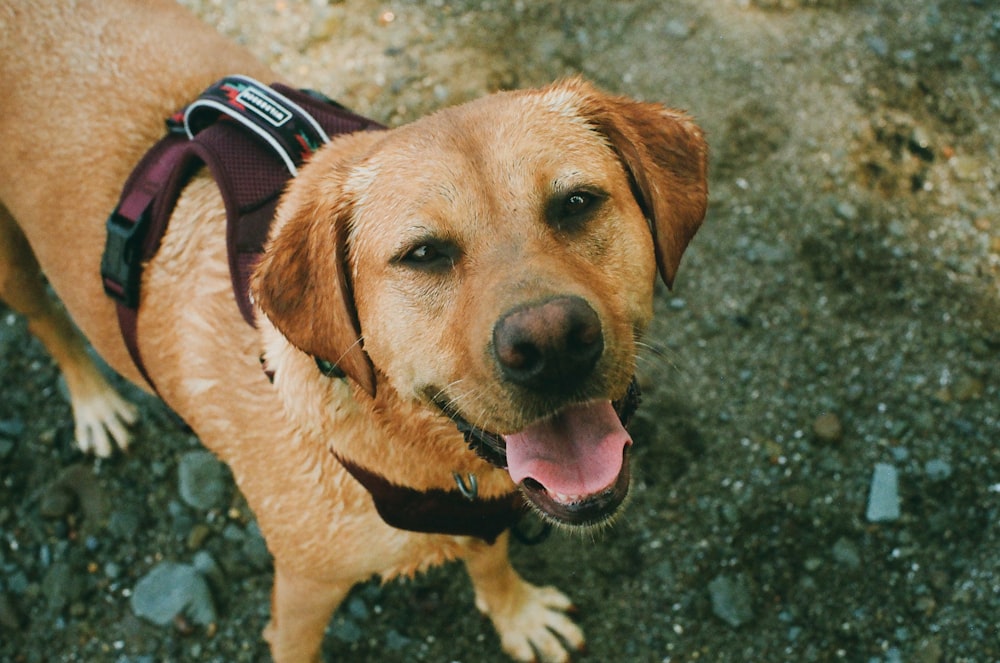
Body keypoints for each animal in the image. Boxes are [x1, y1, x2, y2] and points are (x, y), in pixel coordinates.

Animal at [0, 2, 708, 660]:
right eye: (423, 254)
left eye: (577, 204)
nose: (553, 344)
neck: (410, 446)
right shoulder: (301, 597)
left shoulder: (482, 510)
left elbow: (491, 560)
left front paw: (517, 614)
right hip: (15, 268)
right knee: (47, 322)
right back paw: (95, 404)